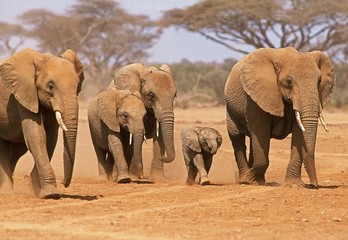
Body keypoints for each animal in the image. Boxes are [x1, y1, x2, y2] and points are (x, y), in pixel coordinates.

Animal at [0, 47, 84, 199]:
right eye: (50, 86)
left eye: (77, 87)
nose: (64, 183)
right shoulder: (24, 93)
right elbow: (37, 135)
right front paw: (50, 194)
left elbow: (50, 138)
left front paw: (37, 189)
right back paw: (6, 193)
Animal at [224, 47, 336, 188]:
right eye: (289, 81)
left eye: (319, 81)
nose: (313, 185)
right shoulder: (255, 96)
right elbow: (260, 131)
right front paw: (249, 180)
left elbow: (299, 133)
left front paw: (294, 184)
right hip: (229, 107)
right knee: (237, 137)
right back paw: (245, 179)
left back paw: (258, 180)